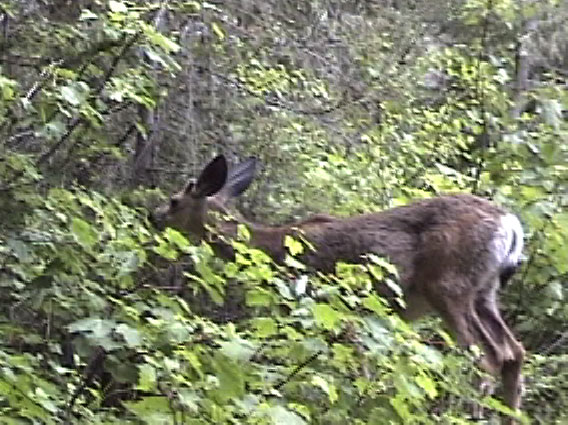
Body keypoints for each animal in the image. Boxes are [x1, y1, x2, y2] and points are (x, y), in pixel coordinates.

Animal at [153, 154, 524, 422]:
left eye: (174, 201)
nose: (154, 216)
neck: (271, 247)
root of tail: (511, 225)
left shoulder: (320, 300)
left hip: (447, 285)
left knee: (488, 357)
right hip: (484, 292)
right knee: (514, 353)